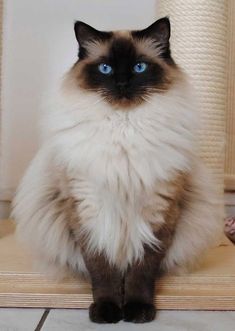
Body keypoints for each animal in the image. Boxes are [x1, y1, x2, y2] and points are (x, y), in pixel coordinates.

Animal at [11, 17, 223, 324]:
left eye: (139, 67)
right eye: (106, 69)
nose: (122, 83)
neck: (124, 127)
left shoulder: (157, 212)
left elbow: (141, 273)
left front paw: (137, 311)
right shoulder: (89, 212)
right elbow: (103, 274)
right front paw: (107, 311)